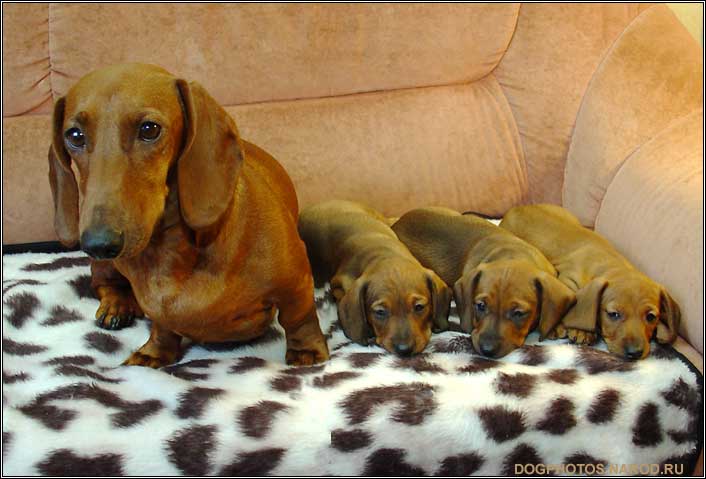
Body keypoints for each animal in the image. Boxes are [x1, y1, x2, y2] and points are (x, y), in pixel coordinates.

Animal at [48, 62, 328, 366]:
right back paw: (116, 305)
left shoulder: (296, 279)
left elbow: (298, 317)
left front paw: (306, 351)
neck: (170, 250)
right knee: (104, 283)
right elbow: (162, 326)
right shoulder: (156, 306)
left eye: (149, 129)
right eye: (74, 136)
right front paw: (153, 353)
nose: (99, 244)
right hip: (106, 267)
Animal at [498, 203, 680, 360]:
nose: (635, 353)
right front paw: (577, 329)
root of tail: (518, 207)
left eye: (651, 317)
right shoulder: (567, 280)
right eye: (613, 314)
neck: (609, 262)